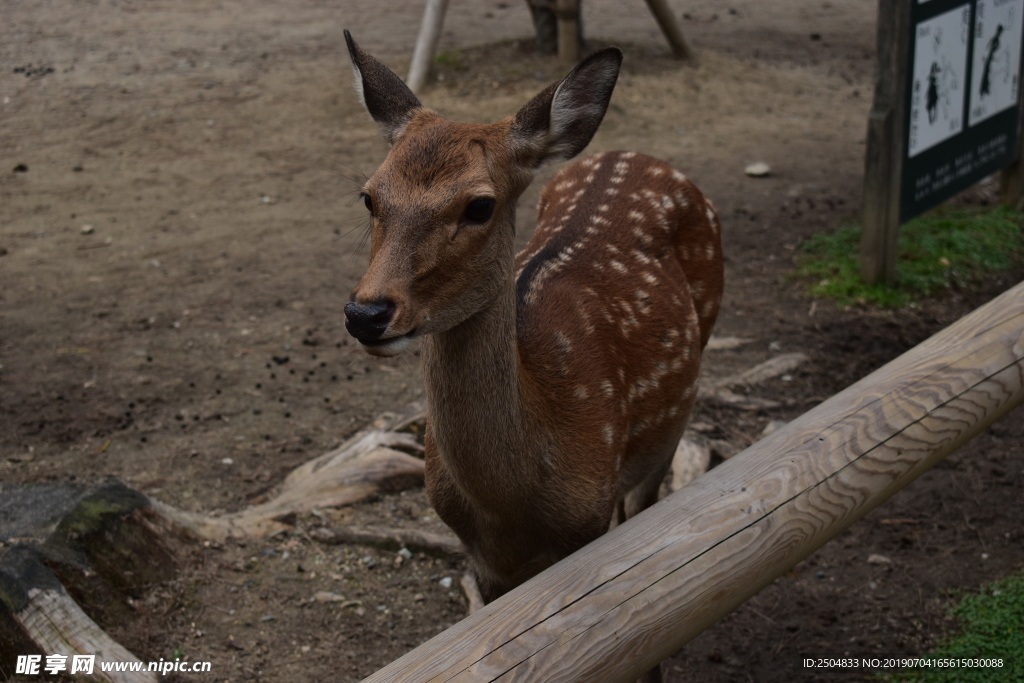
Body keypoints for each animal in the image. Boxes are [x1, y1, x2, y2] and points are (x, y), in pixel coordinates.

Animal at [342, 32, 723, 673]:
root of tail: (640, 154)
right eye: (369, 196)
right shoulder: (482, 560)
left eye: (479, 205)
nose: (366, 313)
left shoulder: (591, 523)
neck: (511, 506)